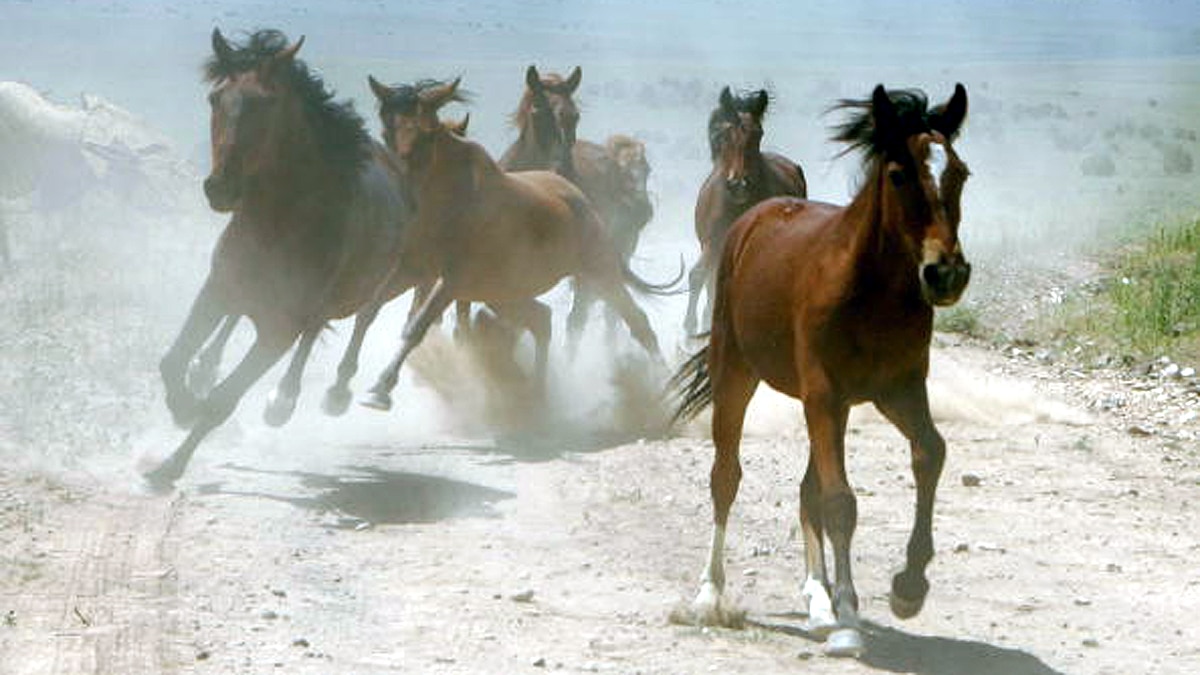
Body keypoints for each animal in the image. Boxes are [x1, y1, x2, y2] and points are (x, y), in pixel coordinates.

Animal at [145, 29, 414, 488]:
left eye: (265, 103)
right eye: (215, 98)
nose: (220, 188)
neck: (280, 219)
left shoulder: (280, 328)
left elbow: (223, 400)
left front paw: (169, 465)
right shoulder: (217, 287)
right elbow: (172, 361)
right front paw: (183, 406)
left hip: (360, 295)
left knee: (350, 325)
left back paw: (298, 400)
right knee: (246, 323)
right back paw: (210, 369)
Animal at [360, 76, 671, 411]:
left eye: (427, 134)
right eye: (385, 130)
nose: (400, 188)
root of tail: (579, 197)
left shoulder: (453, 281)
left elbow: (422, 324)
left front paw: (380, 388)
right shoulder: (422, 272)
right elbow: (392, 313)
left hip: (599, 274)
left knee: (630, 322)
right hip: (507, 291)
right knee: (545, 320)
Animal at [682, 86, 808, 336]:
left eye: (758, 134)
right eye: (724, 135)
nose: (738, 184)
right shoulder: (712, 242)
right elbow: (699, 275)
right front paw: (691, 326)